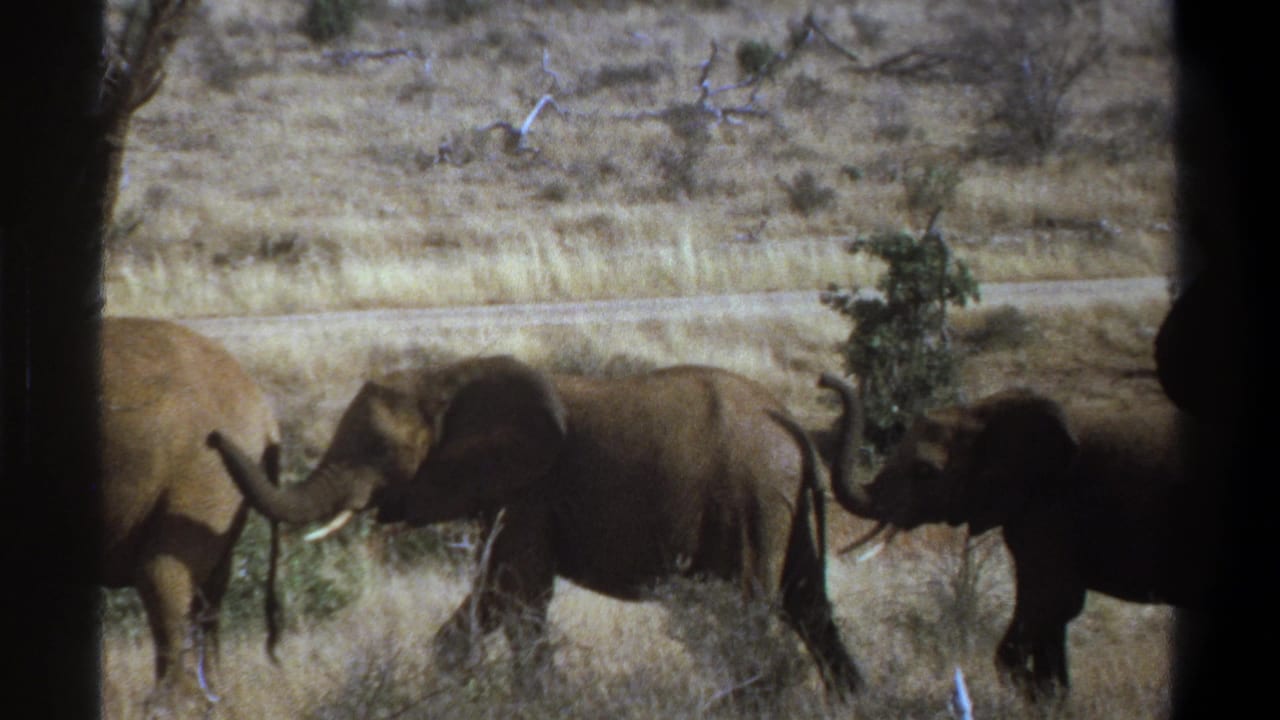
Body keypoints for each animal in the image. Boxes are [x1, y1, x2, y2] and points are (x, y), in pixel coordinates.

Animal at [101, 317, 283, 716]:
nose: (216, 438)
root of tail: (265, 413)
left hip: (198, 471)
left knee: (161, 575)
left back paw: (170, 706)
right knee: (210, 588)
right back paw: (216, 698)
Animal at [207, 355, 863, 697]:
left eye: (377, 449)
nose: (213, 436)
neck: (444, 378)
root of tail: (794, 430)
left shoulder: (529, 492)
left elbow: (520, 597)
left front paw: (537, 700)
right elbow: (491, 598)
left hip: (753, 498)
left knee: (754, 610)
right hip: (781, 503)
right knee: (809, 602)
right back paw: (851, 699)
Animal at [818, 372, 1215, 699]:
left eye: (925, 472)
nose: (825, 380)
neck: (981, 412)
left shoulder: (1053, 507)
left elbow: (1053, 602)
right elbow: (1051, 610)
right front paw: (1051, 701)